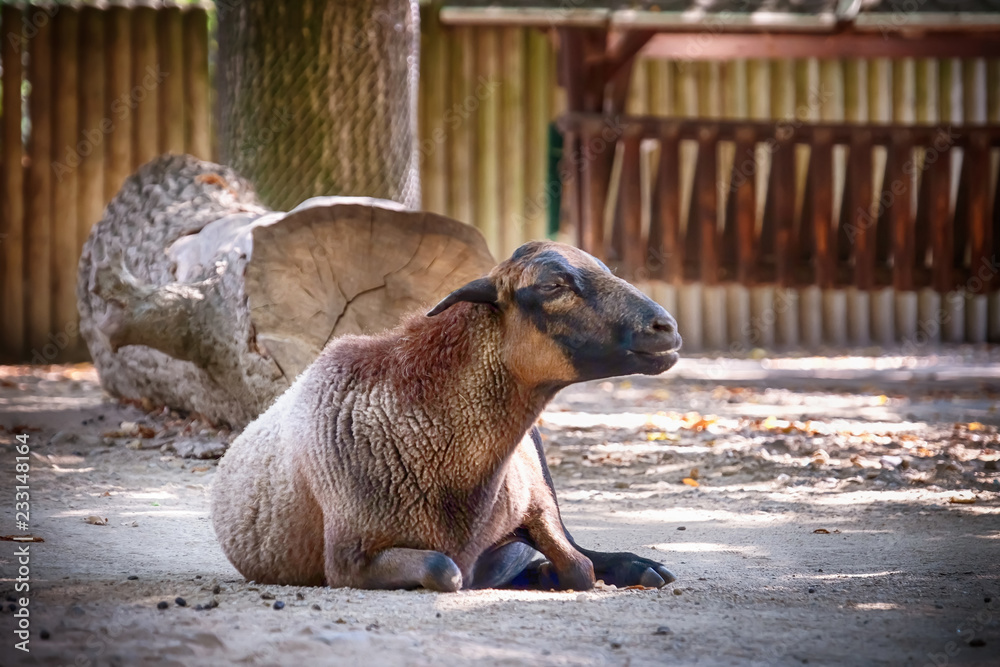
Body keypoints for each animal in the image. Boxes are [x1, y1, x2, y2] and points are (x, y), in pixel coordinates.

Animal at [210, 239, 680, 588]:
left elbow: (578, 566)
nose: (666, 328)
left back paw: (643, 568)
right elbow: (446, 570)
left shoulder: (538, 504)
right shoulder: (347, 560)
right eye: (553, 285)